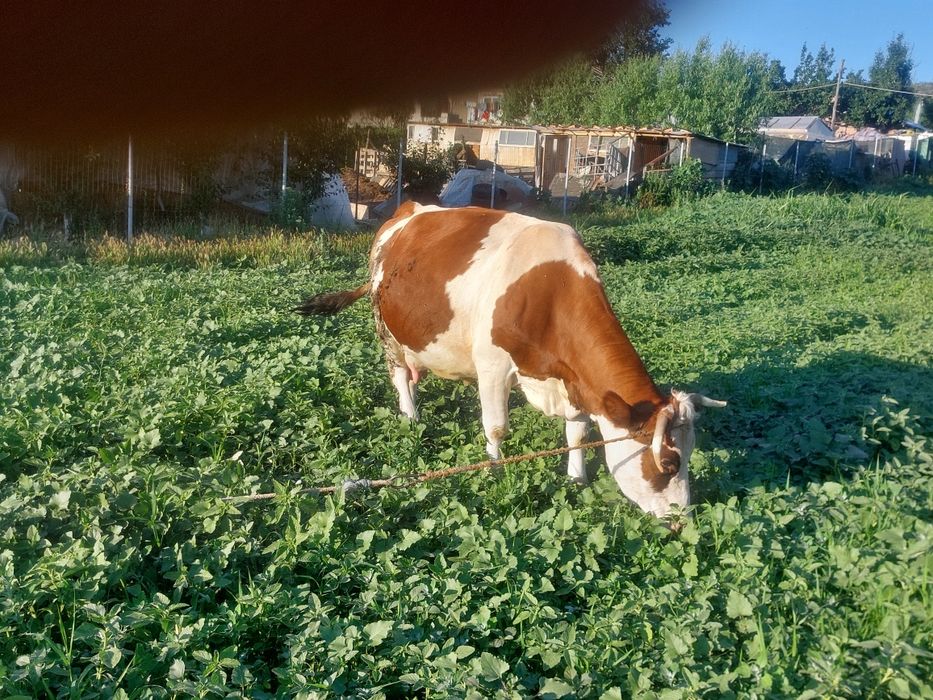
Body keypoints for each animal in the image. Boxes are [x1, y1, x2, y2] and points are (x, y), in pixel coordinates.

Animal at [295, 202, 725, 521]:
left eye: (689, 456)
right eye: (668, 462)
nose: (681, 519)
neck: (551, 291)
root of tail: (409, 209)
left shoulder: (573, 380)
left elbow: (577, 433)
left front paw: (576, 480)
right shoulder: (492, 365)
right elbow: (497, 427)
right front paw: (496, 470)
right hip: (386, 329)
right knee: (400, 376)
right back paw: (411, 418)